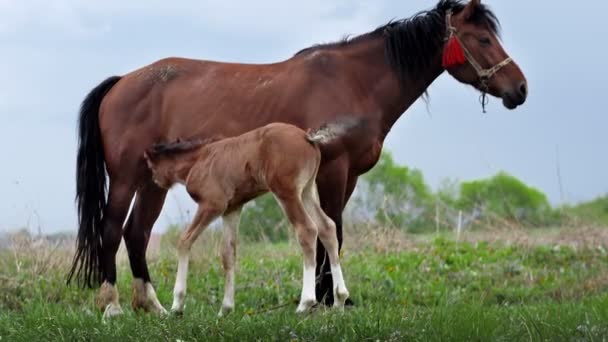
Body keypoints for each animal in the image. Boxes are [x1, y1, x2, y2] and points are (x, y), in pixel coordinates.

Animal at [144, 119, 360, 316]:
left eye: (150, 166)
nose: (156, 180)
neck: (198, 160)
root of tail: (307, 137)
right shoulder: (231, 209)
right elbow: (228, 253)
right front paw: (225, 309)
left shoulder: (212, 205)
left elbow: (184, 240)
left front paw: (177, 305)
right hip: (306, 191)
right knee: (327, 227)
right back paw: (339, 299)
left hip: (286, 192)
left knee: (307, 229)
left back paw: (305, 303)